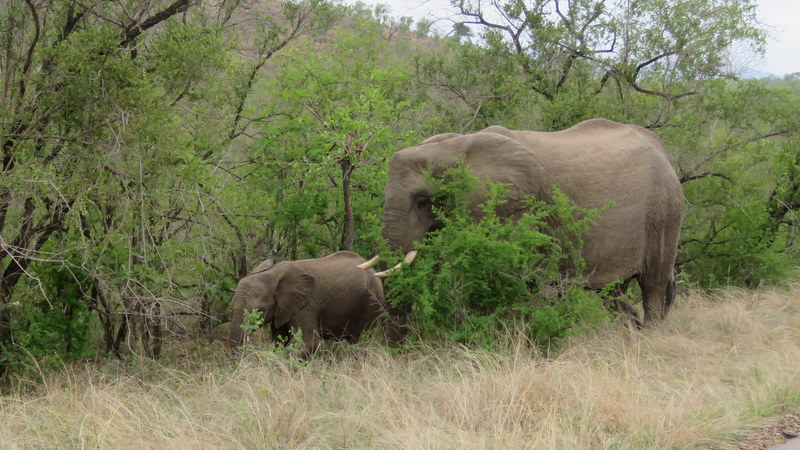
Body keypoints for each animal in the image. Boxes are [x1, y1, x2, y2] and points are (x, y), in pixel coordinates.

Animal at [228, 251, 386, 354]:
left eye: (260, 311)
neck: (272, 274)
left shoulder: (307, 305)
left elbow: (309, 344)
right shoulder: (282, 308)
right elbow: (279, 341)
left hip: (371, 303)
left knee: (360, 341)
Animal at [381, 118, 684, 325]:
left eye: (423, 200)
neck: (453, 146)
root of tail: (665, 151)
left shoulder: (520, 209)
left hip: (663, 214)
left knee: (653, 285)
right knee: (612, 294)